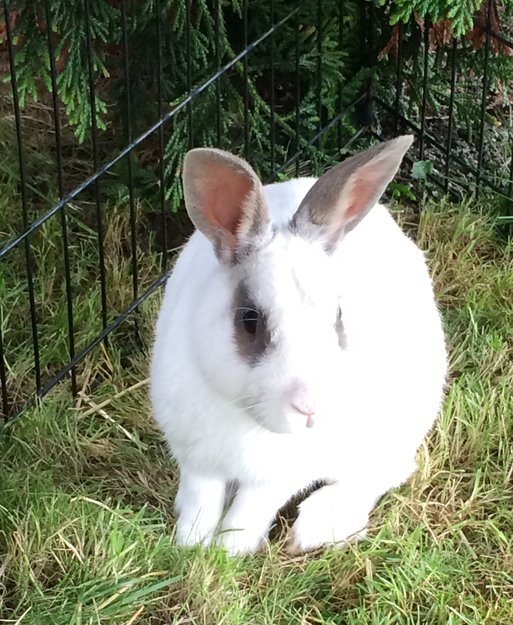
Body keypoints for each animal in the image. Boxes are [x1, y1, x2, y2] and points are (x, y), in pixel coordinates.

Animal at [150, 135, 447, 556]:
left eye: (338, 318)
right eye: (249, 320)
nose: (310, 408)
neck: (247, 419)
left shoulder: (278, 478)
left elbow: (249, 508)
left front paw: (229, 550)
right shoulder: (196, 461)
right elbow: (200, 499)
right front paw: (191, 543)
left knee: (384, 474)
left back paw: (319, 525)